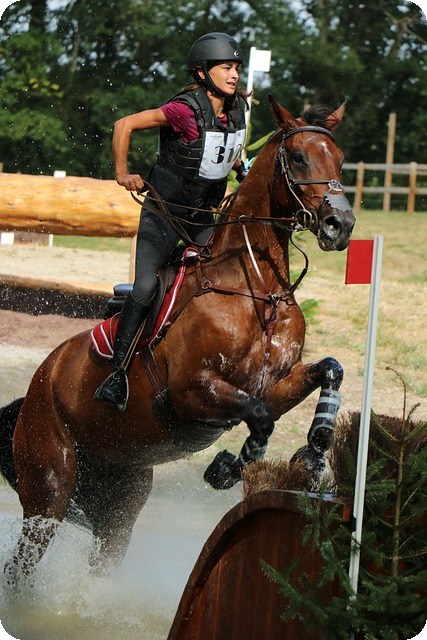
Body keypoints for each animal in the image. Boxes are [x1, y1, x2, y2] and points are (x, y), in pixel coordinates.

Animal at [0, 95, 355, 592]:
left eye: (340, 159)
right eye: (300, 157)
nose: (341, 224)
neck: (255, 287)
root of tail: (38, 382)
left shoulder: (275, 382)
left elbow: (328, 370)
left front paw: (315, 451)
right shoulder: (190, 391)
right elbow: (260, 416)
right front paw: (229, 467)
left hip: (118, 499)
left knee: (104, 553)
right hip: (48, 488)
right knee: (22, 564)